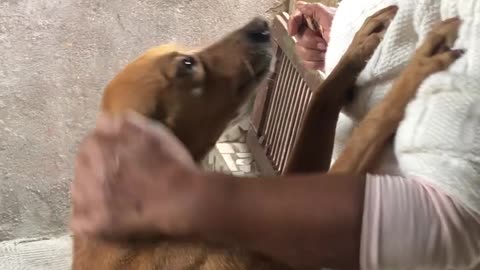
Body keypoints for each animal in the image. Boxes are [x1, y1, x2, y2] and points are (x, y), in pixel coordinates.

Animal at [71, 9, 462, 270]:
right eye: (187, 65)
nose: (261, 24)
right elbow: (373, 123)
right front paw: (422, 62)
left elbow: (320, 101)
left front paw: (358, 43)